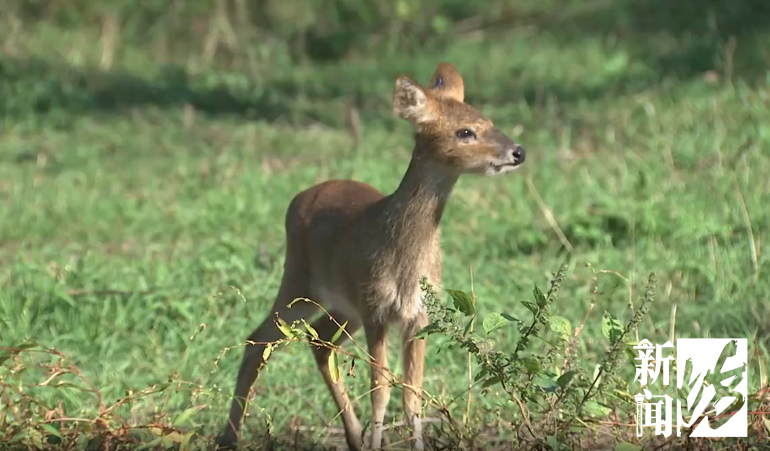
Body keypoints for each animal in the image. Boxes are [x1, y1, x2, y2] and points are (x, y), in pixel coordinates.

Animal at [219, 61, 524, 451]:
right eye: (465, 131)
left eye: (488, 120)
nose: (518, 151)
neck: (405, 259)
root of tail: (300, 196)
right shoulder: (377, 309)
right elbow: (381, 392)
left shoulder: (417, 315)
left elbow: (411, 397)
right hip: (300, 282)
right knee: (257, 340)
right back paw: (230, 435)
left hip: (344, 306)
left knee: (318, 342)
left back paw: (351, 436)